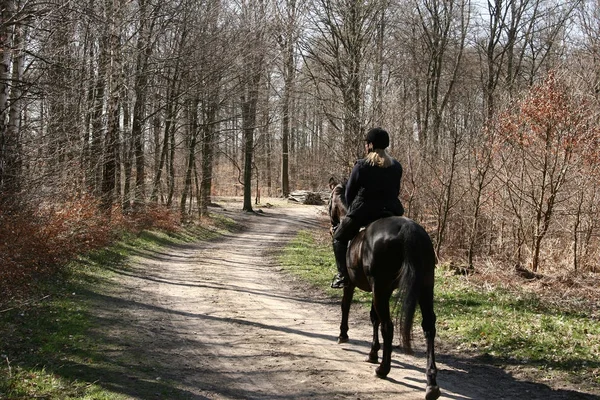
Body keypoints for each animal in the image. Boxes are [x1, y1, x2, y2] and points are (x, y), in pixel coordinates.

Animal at [330, 183, 438, 398]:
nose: (333, 225)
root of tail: (407, 230)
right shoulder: (379, 290)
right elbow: (374, 318)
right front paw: (373, 353)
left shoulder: (356, 285)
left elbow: (346, 307)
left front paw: (343, 335)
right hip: (424, 286)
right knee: (428, 326)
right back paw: (431, 384)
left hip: (381, 287)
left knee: (388, 326)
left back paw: (383, 369)